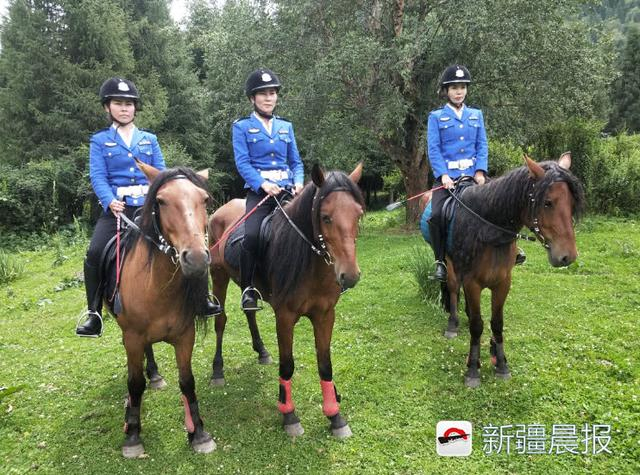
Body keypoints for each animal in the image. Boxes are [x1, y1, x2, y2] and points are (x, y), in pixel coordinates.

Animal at [111, 163, 216, 457]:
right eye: (161, 201)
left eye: (204, 199)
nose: (196, 258)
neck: (157, 287)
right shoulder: (132, 337)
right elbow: (135, 384)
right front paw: (133, 435)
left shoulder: (185, 336)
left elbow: (187, 382)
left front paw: (199, 433)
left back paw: (155, 375)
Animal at [208, 163, 364, 438]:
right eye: (326, 217)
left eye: (358, 214)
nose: (350, 275)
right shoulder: (285, 316)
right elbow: (288, 364)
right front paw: (289, 415)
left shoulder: (325, 315)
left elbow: (325, 363)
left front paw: (335, 416)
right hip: (218, 276)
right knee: (221, 321)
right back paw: (218, 370)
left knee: (249, 310)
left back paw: (261, 351)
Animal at [420, 153, 584, 388]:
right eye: (547, 203)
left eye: (571, 203)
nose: (567, 256)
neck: (486, 230)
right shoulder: (472, 283)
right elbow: (477, 325)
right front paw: (473, 368)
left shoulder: (502, 282)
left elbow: (497, 323)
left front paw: (501, 362)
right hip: (449, 265)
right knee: (452, 289)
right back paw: (453, 324)